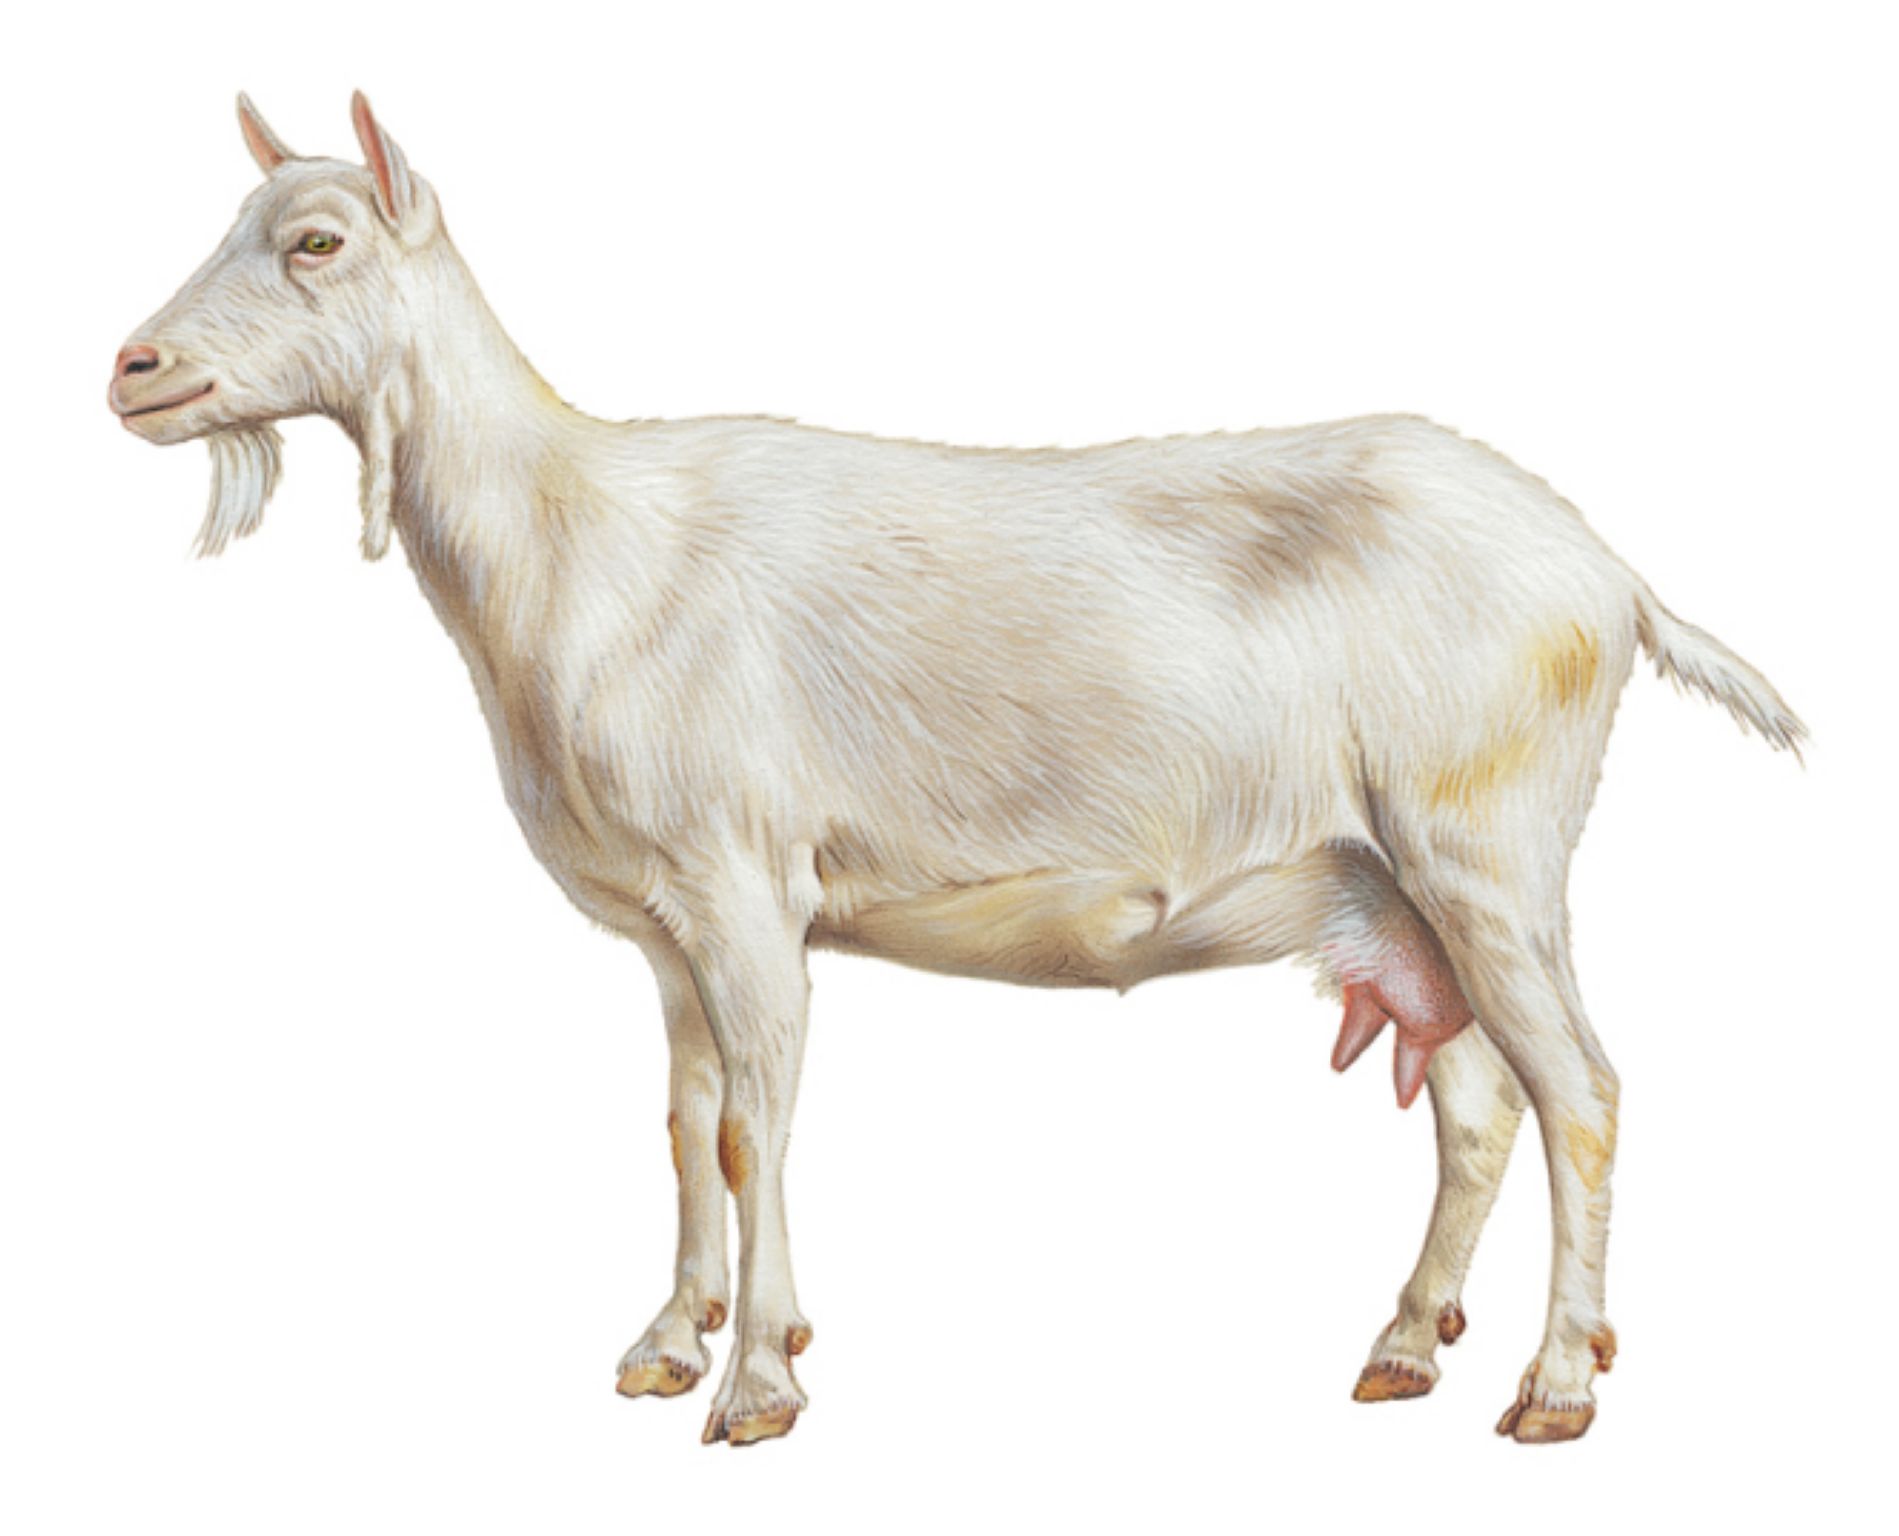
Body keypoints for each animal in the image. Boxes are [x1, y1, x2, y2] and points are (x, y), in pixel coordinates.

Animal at [109, 94, 1804, 1448]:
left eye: (315, 239)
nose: (133, 369)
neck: (573, 541)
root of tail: (1606, 576)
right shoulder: (664, 927)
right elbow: (684, 1119)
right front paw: (671, 1343)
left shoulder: (743, 887)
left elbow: (754, 1124)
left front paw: (757, 1387)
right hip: (1388, 892)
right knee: (1471, 1100)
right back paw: (1400, 1349)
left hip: (1485, 849)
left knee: (1577, 1091)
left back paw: (1553, 1388)